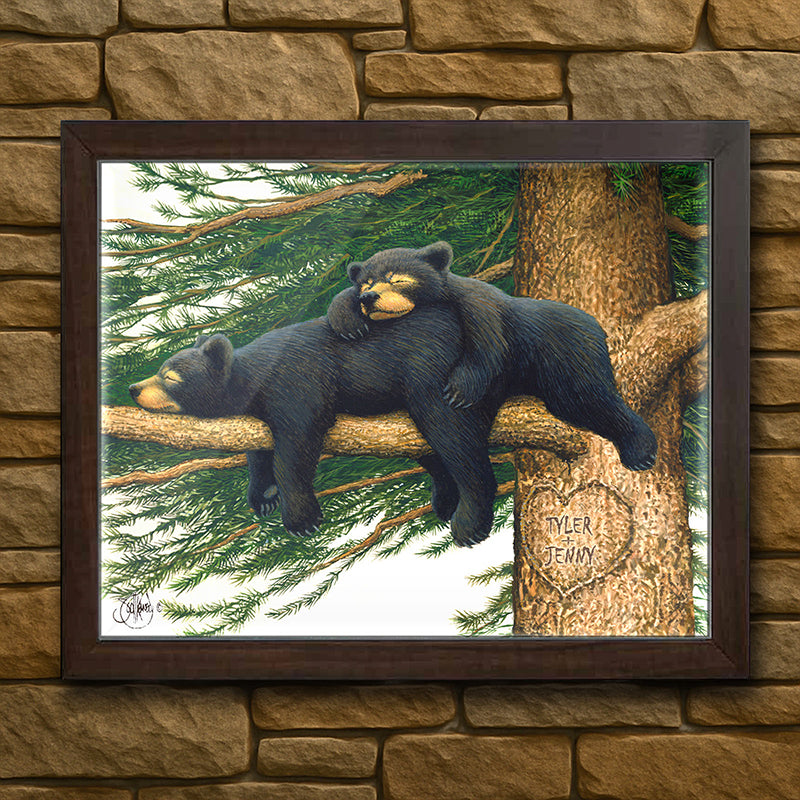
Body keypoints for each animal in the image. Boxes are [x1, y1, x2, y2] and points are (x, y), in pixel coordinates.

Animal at [129, 308, 504, 546]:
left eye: (169, 377)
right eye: (160, 370)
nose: (134, 388)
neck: (254, 378)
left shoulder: (298, 381)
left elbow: (296, 442)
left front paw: (301, 518)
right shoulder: (256, 412)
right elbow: (259, 450)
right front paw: (263, 495)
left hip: (437, 371)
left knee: (453, 433)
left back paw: (470, 519)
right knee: (428, 447)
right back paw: (446, 499)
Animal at [327, 241, 657, 472]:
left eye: (398, 279)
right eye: (366, 282)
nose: (369, 298)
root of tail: (598, 328)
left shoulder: (478, 305)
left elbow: (488, 346)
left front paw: (460, 390)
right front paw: (348, 321)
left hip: (571, 357)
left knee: (595, 399)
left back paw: (641, 451)